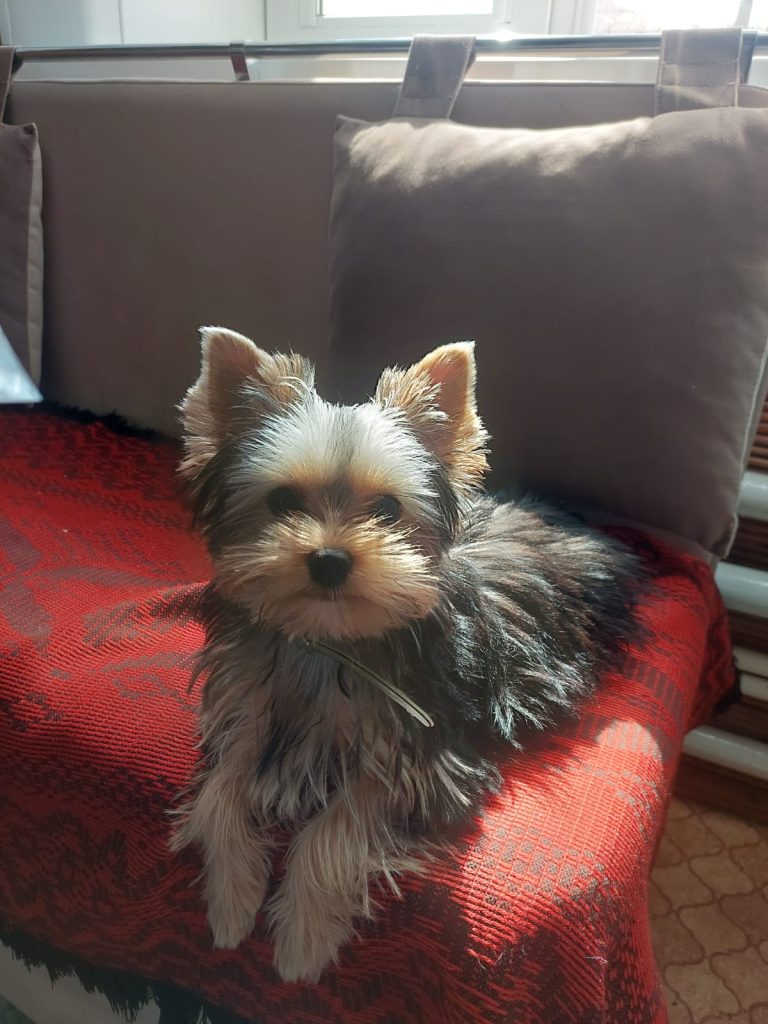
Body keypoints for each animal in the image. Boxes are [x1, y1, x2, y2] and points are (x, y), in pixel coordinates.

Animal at [171, 327, 644, 983]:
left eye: (388, 511)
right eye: (283, 500)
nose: (329, 559)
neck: (331, 641)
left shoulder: (423, 764)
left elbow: (337, 832)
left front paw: (302, 942)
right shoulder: (244, 714)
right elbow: (220, 794)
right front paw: (232, 902)